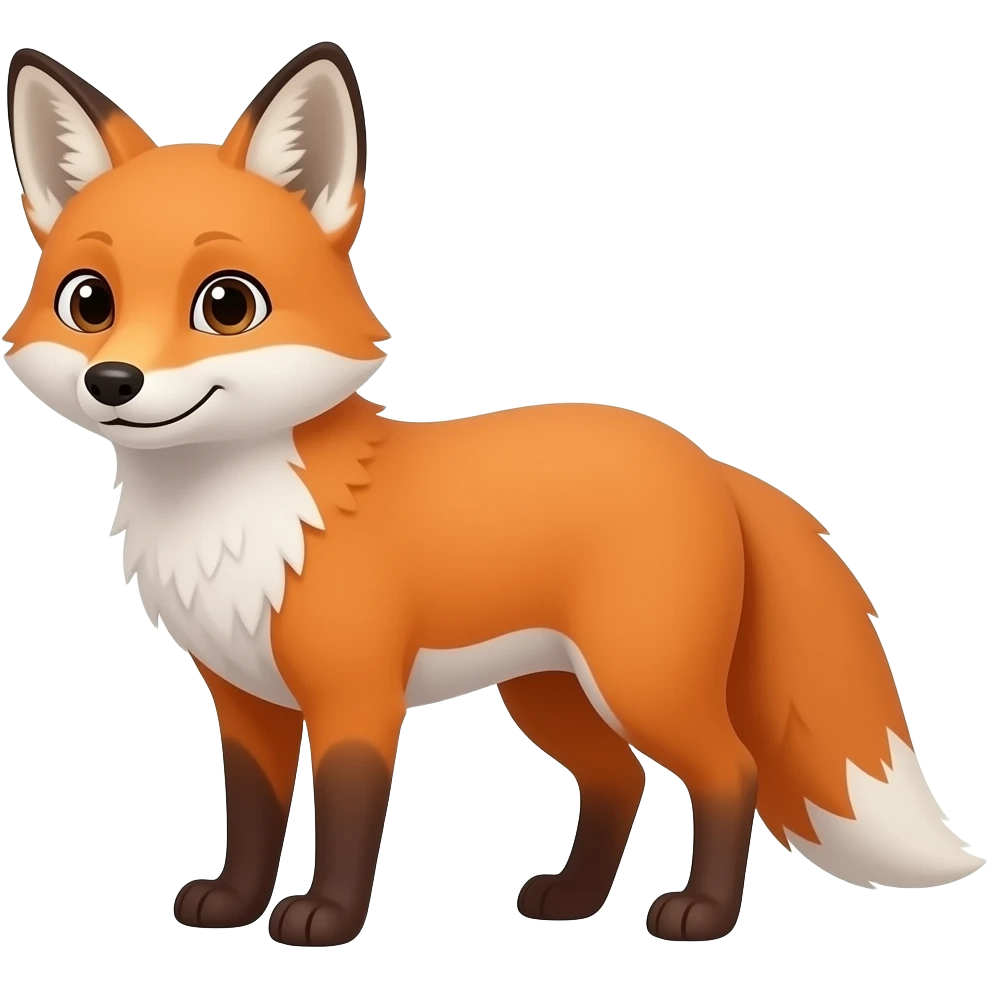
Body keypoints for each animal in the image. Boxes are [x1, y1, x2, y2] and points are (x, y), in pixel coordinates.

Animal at [3, 41, 984, 947]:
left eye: (227, 305)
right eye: (88, 302)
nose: (114, 381)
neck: (234, 519)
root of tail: (705, 459)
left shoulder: (357, 693)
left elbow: (349, 819)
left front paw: (326, 916)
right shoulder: (245, 701)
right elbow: (250, 817)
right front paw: (234, 904)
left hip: (641, 680)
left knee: (727, 769)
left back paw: (700, 913)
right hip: (550, 692)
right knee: (619, 778)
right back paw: (573, 898)